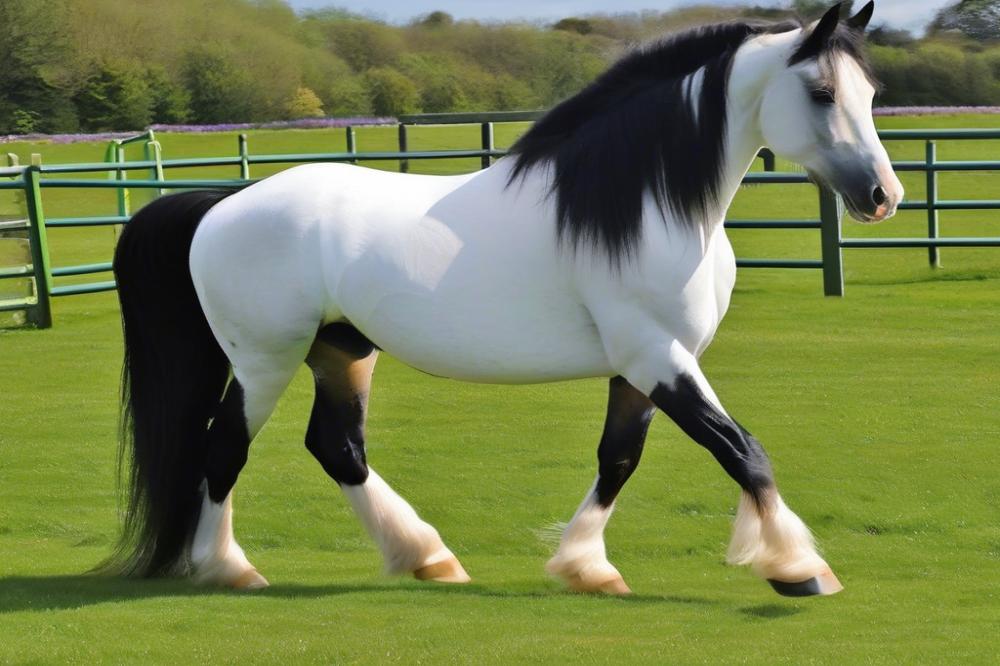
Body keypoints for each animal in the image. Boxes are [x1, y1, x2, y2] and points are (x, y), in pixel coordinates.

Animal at [111, 2, 908, 596]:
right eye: (822, 94)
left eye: (870, 96)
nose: (882, 196)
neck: (640, 206)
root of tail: (220, 204)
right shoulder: (659, 356)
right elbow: (741, 450)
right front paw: (799, 566)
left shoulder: (641, 365)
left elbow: (619, 458)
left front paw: (586, 567)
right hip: (264, 361)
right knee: (225, 446)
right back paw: (230, 568)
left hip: (341, 350)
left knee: (336, 446)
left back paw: (427, 557)